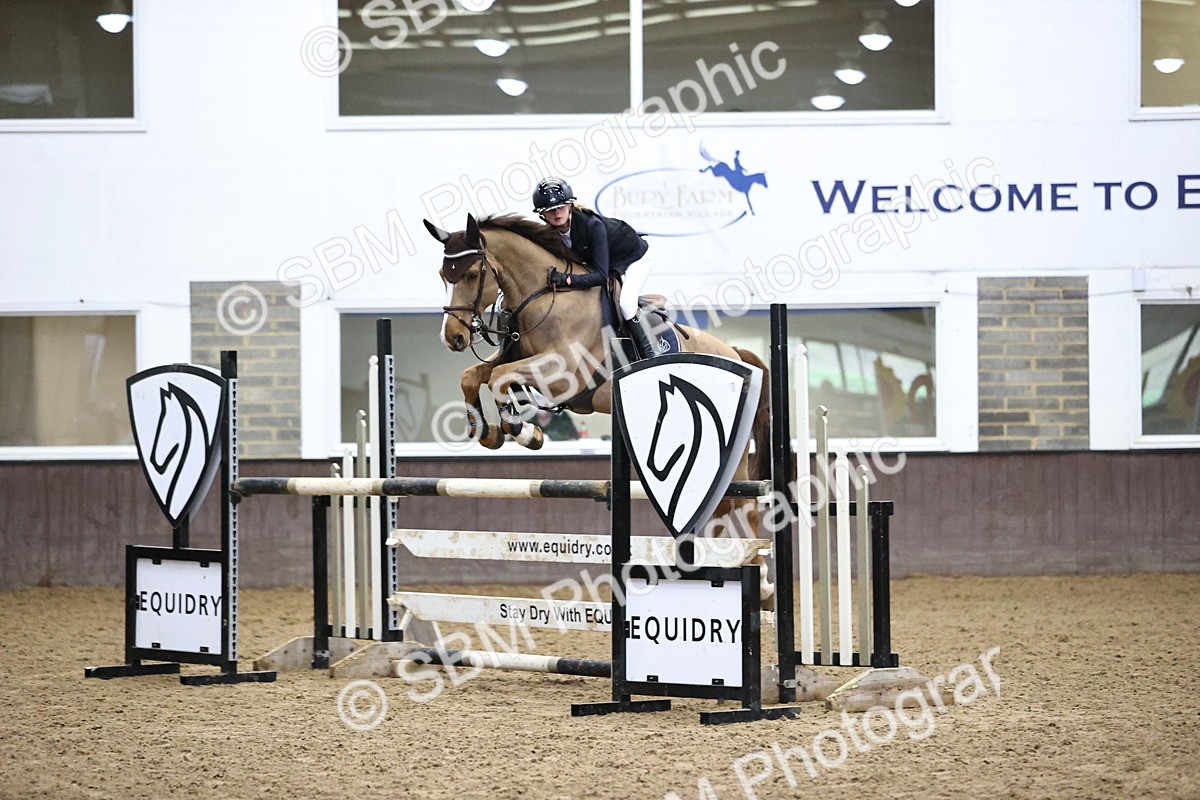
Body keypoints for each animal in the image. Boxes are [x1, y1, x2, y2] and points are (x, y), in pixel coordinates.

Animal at [424, 212, 775, 599]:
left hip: (732, 453)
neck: (544, 296)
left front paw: (525, 431)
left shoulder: (565, 377)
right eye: (442, 274)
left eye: (472, 274)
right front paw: (488, 432)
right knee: (719, 510)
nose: (453, 337)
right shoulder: (518, 360)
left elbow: (500, 377)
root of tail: (735, 353)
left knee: (744, 506)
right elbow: (475, 375)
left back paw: (764, 584)